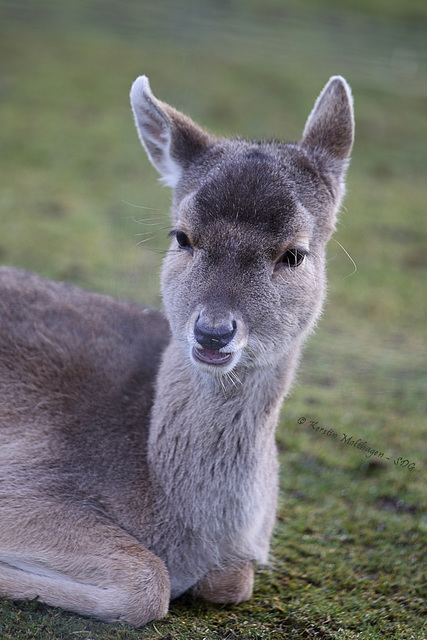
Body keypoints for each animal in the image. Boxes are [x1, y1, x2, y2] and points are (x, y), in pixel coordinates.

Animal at [0, 74, 354, 624]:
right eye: (182, 236)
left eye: (295, 254)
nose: (213, 332)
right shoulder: (23, 480)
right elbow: (149, 581)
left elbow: (230, 583)